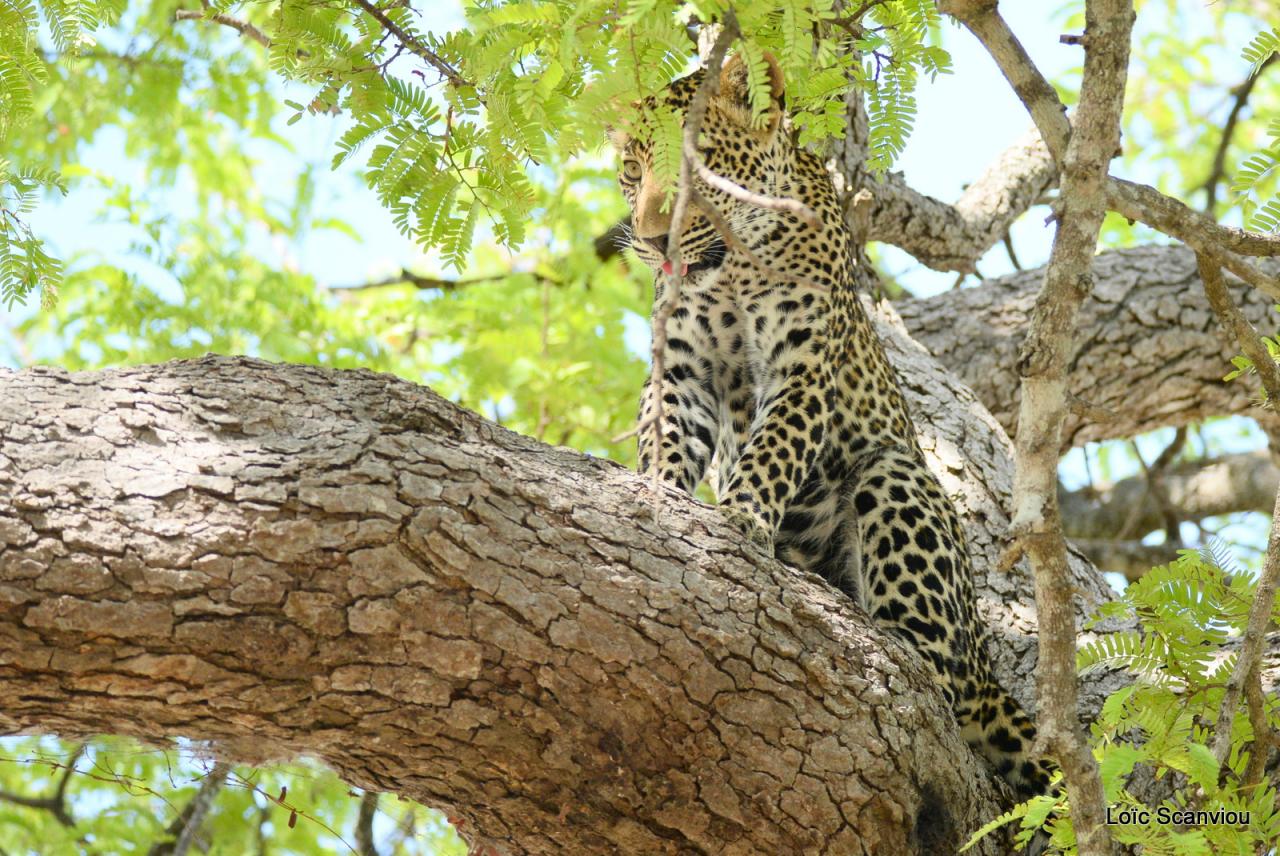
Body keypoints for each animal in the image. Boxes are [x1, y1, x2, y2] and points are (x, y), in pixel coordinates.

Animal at [609, 53, 1049, 803]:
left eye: (700, 164)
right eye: (633, 170)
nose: (651, 237)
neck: (734, 267)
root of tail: (988, 669)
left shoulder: (804, 367)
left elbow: (772, 450)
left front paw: (741, 521)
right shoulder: (682, 371)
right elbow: (667, 441)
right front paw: (664, 495)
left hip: (894, 477)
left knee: (939, 686)